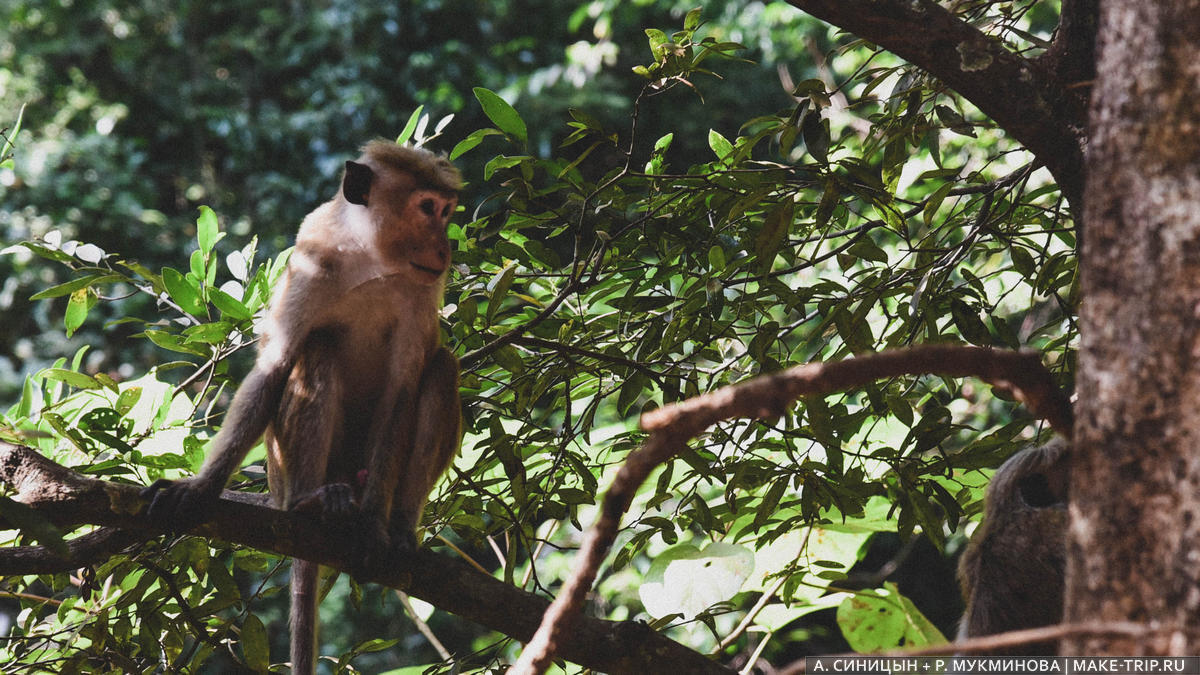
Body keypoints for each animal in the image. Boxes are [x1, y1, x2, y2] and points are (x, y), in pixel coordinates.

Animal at [144, 139, 463, 667]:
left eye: (447, 210)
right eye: (427, 208)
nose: (446, 247)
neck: (373, 261)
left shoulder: (424, 290)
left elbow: (403, 389)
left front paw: (374, 527)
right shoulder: (310, 262)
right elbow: (276, 366)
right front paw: (202, 487)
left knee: (441, 368)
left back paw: (394, 525)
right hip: (284, 470)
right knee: (319, 349)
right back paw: (309, 504)